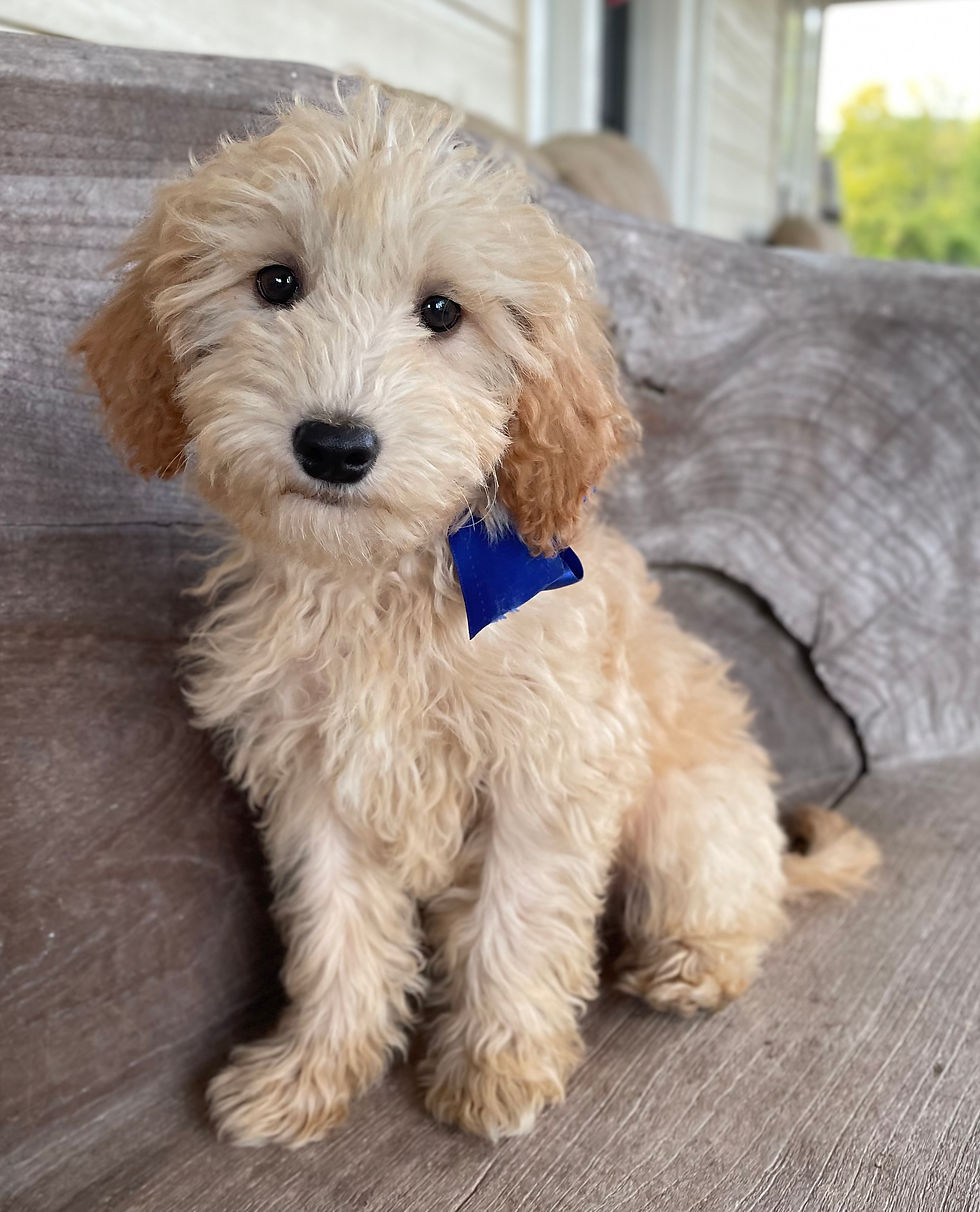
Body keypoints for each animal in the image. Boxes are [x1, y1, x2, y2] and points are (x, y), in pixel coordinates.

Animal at [74, 85, 879, 1147]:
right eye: (276, 282)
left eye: (442, 311)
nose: (335, 445)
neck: (383, 580)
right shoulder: (318, 779)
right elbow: (334, 931)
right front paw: (312, 1070)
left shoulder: (548, 768)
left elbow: (518, 921)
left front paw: (498, 1068)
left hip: (691, 813)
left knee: (733, 905)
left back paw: (694, 963)